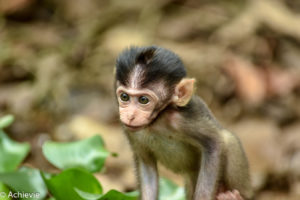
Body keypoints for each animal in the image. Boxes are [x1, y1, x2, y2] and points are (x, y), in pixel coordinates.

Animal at [115, 46, 253, 199]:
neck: (156, 122)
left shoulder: (180, 120)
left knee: (228, 139)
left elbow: (214, 144)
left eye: (143, 100)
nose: (130, 116)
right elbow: (147, 166)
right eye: (124, 97)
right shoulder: (130, 130)